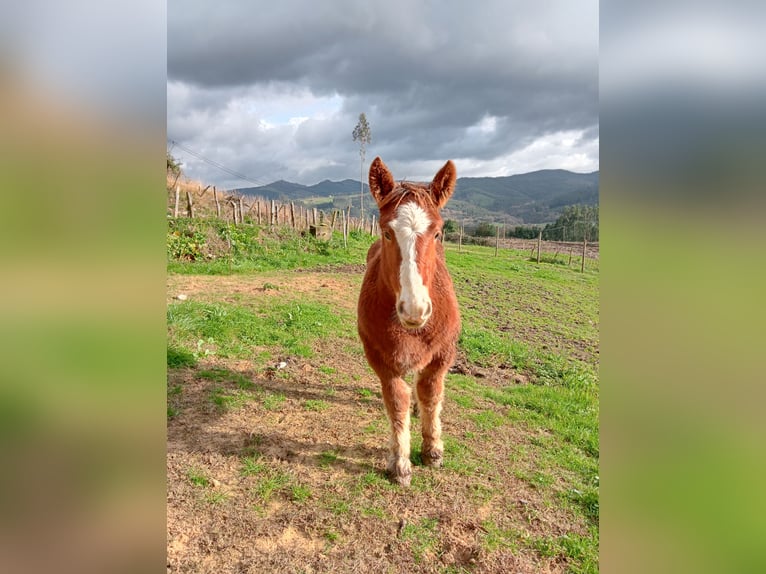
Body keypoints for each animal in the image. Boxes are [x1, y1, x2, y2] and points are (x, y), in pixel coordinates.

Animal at [357, 157, 461, 487]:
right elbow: (397, 402)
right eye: (387, 232)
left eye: (438, 233)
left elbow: (430, 393)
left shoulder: (443, 354)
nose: (415, 310)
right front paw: (401, 463)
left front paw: (433, 450)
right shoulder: (380, 357)